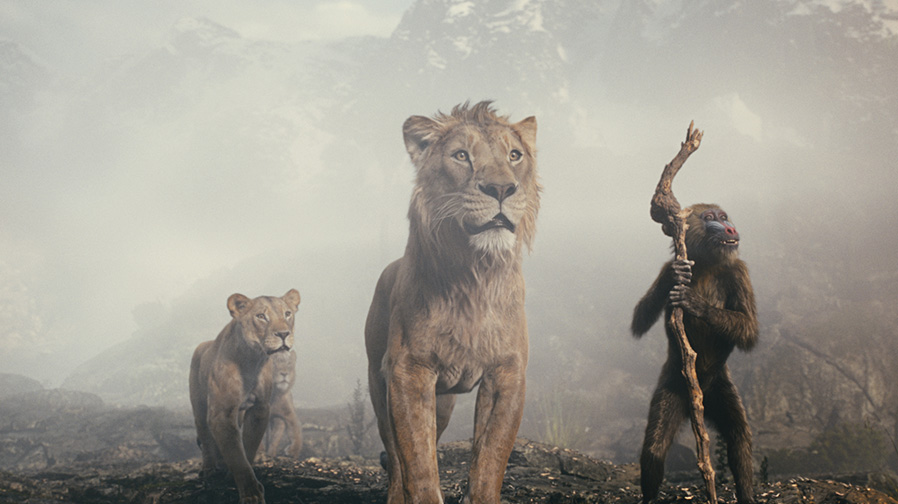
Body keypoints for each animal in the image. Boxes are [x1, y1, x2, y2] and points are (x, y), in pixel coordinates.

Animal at [189, 289, 301, 504]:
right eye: (261, 316)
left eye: (287, 314)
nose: (284, 334)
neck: (252, 360)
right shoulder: (221, 413)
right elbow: (236, 454)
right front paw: (251, 494)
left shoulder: (260, 408)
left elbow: (248, 446)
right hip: (199, 405)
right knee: (205, 436)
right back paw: (209, 469)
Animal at [365, 101, 540, 503]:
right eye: (461, 156)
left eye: (515, 155)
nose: (501, 188)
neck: (475, 275)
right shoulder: (408, 371)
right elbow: (417, 462)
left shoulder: (507, 373)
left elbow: (490, 457)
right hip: (379, 384)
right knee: (395, 453)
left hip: (443, 400)